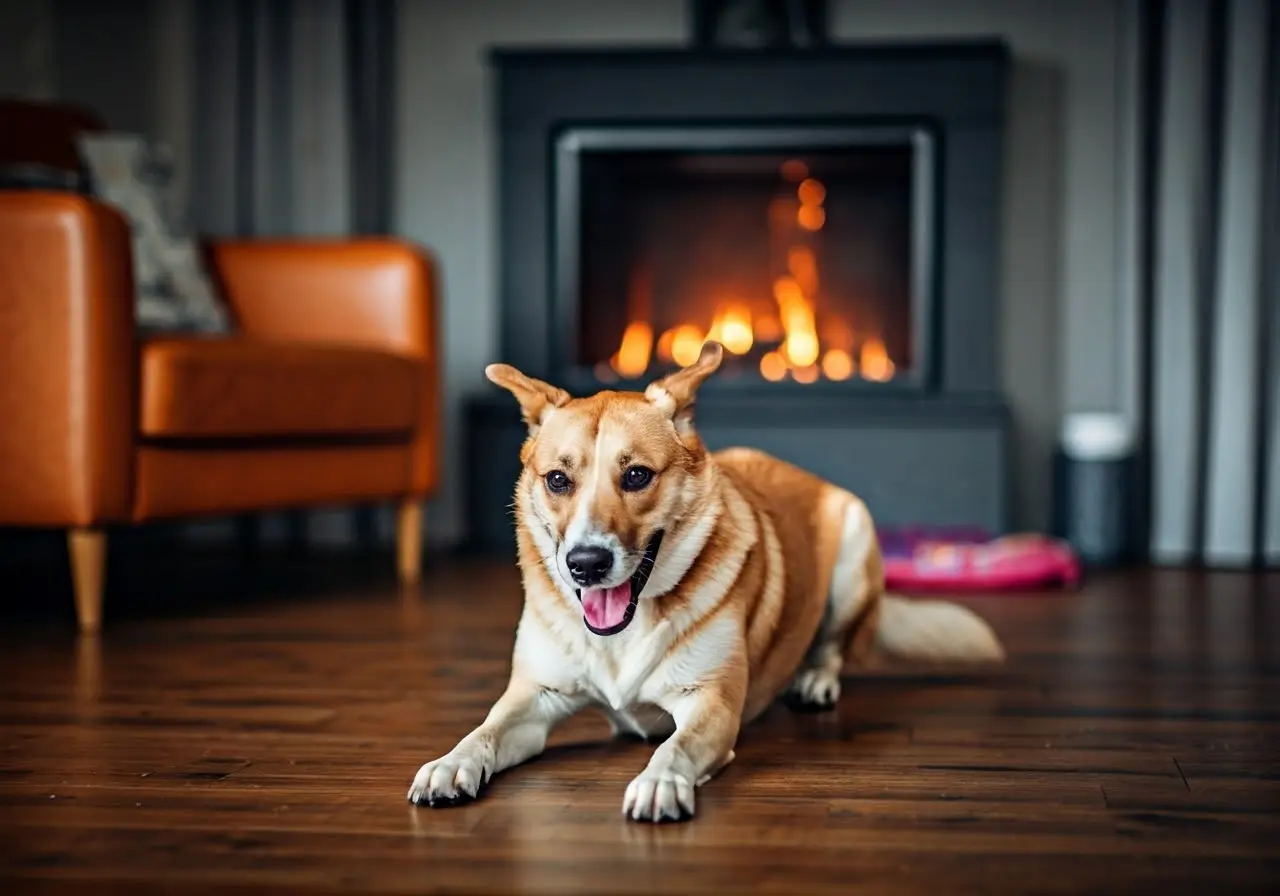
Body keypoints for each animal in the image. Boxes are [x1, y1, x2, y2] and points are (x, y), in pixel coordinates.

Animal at [404, 340, 1003, 824]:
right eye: (557, 479)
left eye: (636, 476)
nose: (586, 564)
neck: (622, 633)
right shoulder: (535, 696)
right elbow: (485, 729)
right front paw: (451, 762)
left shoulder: (710, 704)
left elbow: (676, 746)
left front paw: (658, 781)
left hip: (854, 551)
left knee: (834, 645)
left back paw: (815, 679)